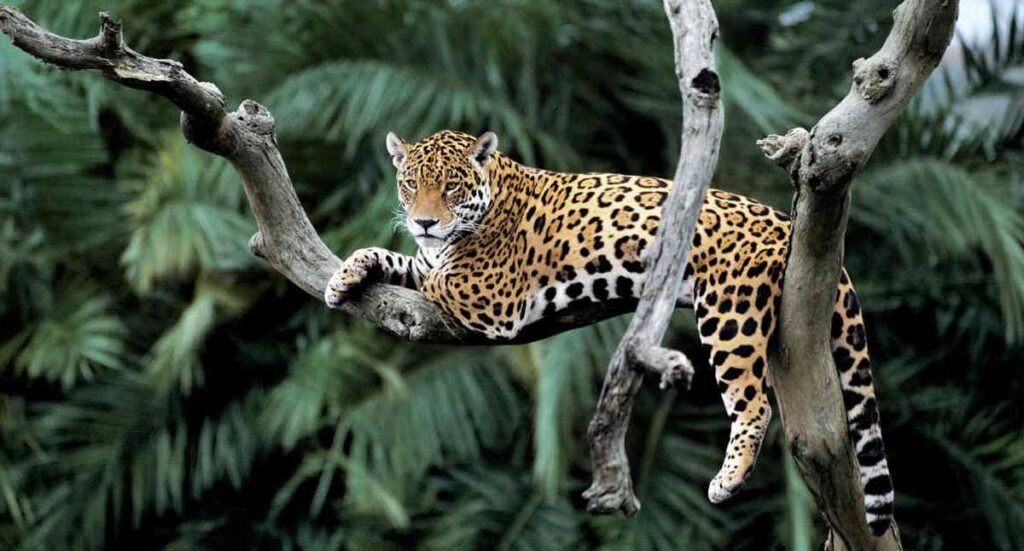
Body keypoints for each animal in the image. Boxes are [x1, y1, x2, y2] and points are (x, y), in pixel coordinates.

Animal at [324, 130, 895, 536]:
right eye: (409, 185)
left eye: (451, 186)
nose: (424, 222)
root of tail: (785, 222)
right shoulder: (434, 261)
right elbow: (399, 259)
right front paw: (344, 276)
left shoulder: (490, 294)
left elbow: (435, 275)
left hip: (729, 313)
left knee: (753, 403)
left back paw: (727, 480)